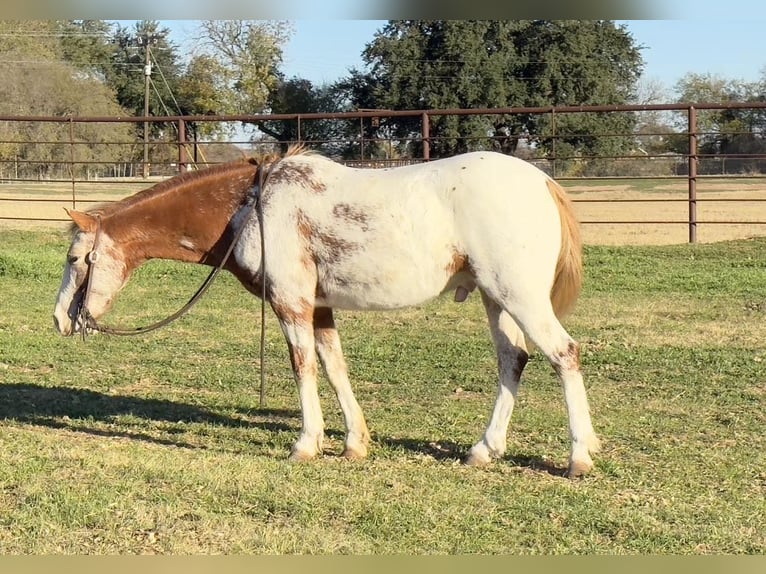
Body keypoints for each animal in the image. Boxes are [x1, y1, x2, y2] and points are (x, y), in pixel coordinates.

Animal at [54, 146, 604, 480]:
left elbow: (304, 369)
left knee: (564, 354)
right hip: (497, 299)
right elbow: (336, 368)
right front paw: (355, 443)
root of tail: (541, 181)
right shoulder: (319, 308)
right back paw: (484, 449)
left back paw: (578, 456)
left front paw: (307, 443)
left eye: (77, 258)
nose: (60, 320)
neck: (253, 207)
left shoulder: (291, 304)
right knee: (514, 361)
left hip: (519, 296)